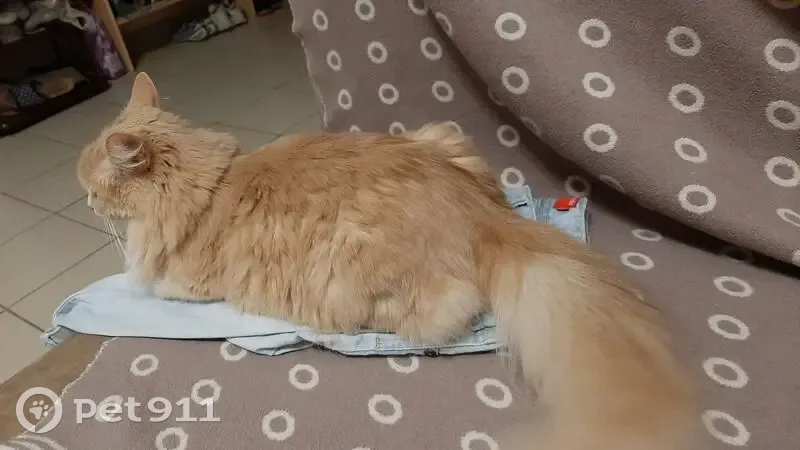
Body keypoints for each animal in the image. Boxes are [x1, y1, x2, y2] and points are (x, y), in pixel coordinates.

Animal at [77, 72, 695, 450]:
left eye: (93, 186)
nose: (84, 201)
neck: (208, 181)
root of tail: (484, 216)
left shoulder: (182, 284)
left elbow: (151, 283)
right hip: (443, 135)